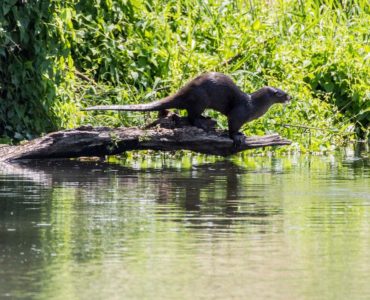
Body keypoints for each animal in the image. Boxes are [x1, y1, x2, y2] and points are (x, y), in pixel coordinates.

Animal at [84, 71, 290, 144]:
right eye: (280, 93)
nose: (290, 96)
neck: (253, 106)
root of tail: (185, 90)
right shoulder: (239, 114)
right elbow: (232, 126)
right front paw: (237, 136)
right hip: (200, 99)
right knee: (191, 116)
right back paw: (202, 123)